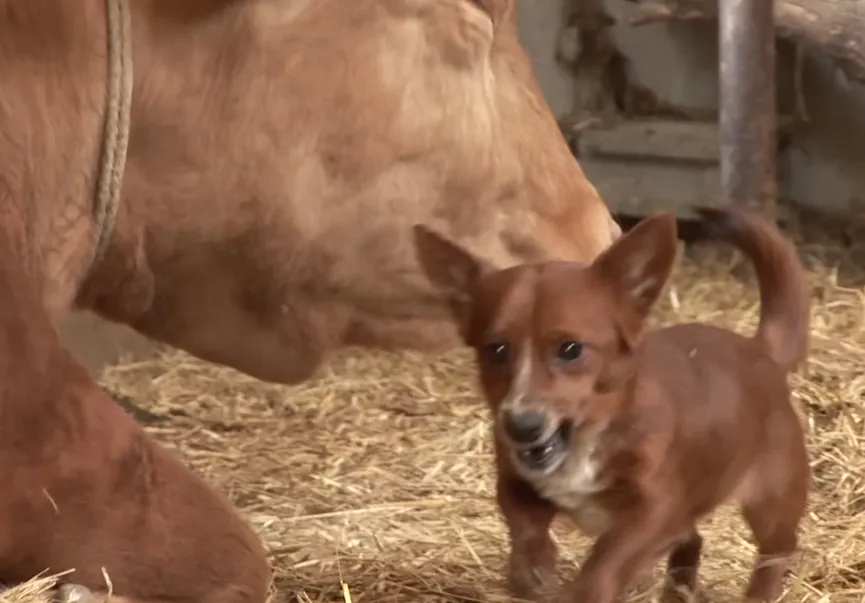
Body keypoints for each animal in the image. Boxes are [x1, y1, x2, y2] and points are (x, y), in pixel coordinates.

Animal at [412, 208, 808, 603]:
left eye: (571, 349)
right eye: (496, 350)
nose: (521, 427)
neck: (588, 437)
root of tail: (762, 350)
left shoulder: (656, 509)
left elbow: (605, 564)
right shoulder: (515, 484)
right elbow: (526, 530)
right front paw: (533, 572)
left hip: (771, 505)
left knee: (776, 553)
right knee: (692, 541)